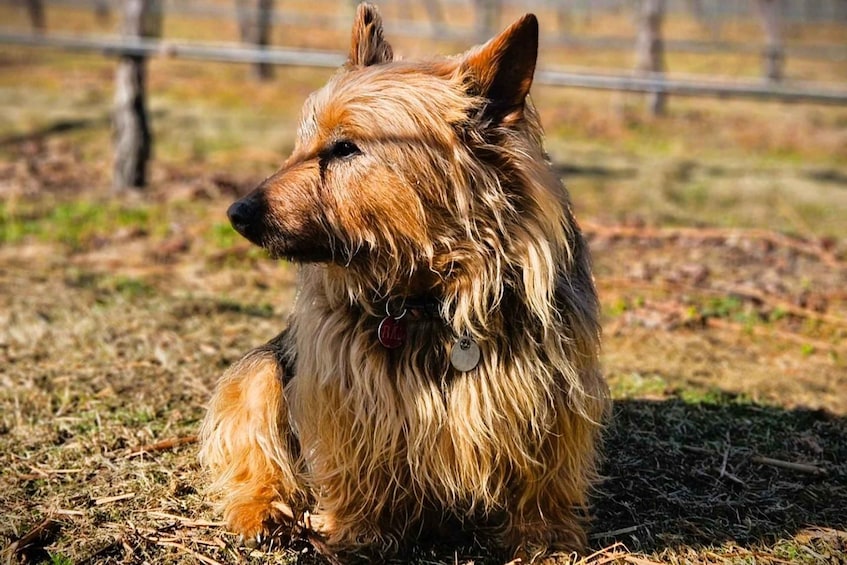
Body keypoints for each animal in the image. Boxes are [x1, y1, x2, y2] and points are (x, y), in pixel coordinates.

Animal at [199, 4, 608, 556]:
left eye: (346, 149)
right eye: (303, 144)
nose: (237, 213)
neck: (431, 295)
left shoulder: (552, 390)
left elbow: (544, 474)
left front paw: (543, 538)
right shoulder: (344, 385)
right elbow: (358, 462)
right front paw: (360, 533)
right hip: (262, 373)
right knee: (257, 448)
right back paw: (263, 511)